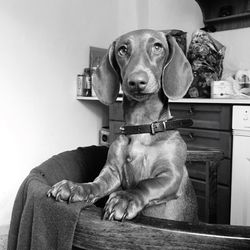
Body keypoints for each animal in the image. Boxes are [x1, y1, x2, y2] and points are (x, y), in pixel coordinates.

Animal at [47, 29, 198, 223]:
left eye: (158, 47)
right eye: (122, 50)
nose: (136, 81)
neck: (142, 126)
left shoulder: (171, 175)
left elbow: (146, 184)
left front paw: (126, 199)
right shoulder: (112, 172)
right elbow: (96, 185)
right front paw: (76, 187)